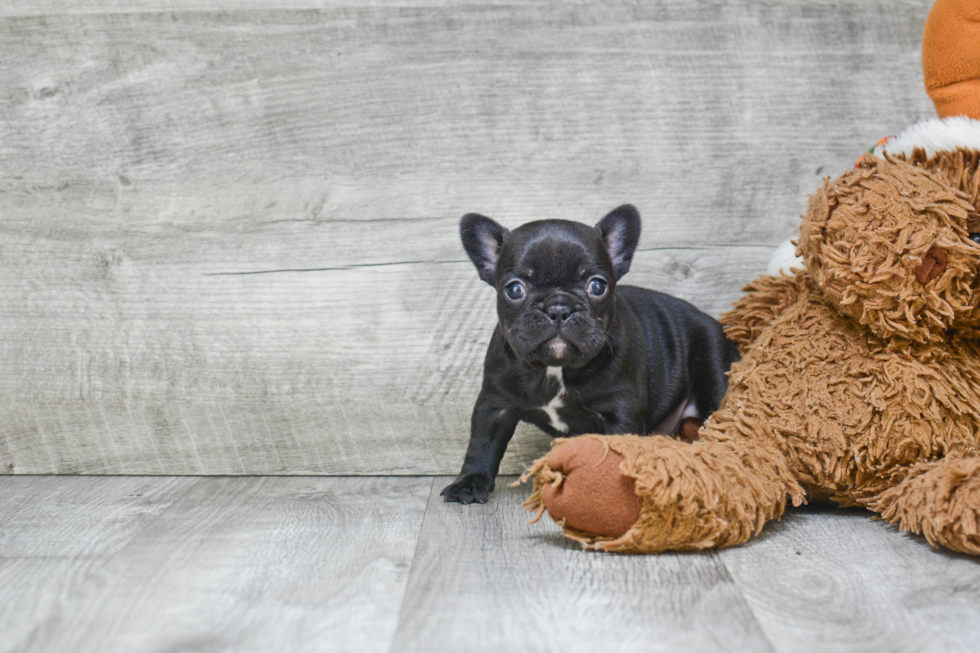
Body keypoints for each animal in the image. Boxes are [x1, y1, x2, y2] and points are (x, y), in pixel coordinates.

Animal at [440, 205, 740, 504]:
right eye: (514, 289)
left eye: (597, 286)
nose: (558, 308)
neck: (555, 369)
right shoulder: (494, 405)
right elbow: (482, 443)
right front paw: (469, 482)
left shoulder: (621, 411)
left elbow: (621, 452)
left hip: (713, 363)